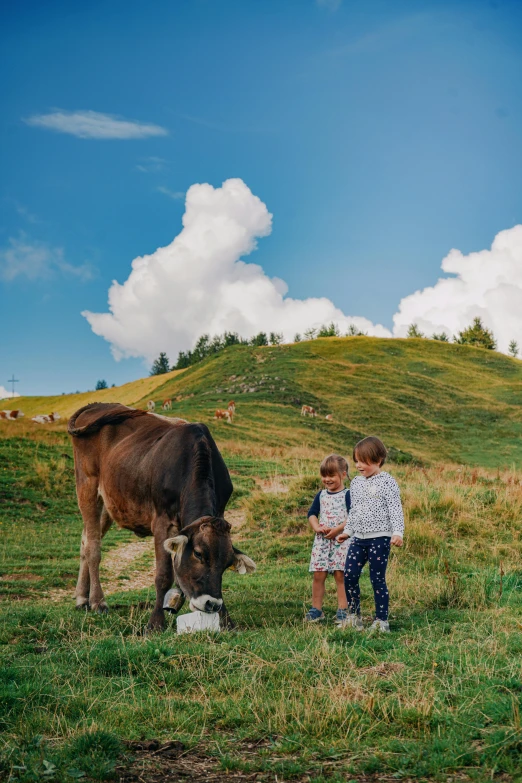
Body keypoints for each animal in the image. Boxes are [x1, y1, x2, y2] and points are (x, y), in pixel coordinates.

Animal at [67, 404, 254, 632]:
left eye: (228, 563)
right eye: (199, 554)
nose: (211, 604)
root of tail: (96, 406)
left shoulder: (219, 511)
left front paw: (225, 619)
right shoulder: (162, 521)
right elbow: (163, 575)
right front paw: (155, 623)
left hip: (110, 502)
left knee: (85, 541)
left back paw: (81, 598)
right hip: (87, 486)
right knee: (93, 547)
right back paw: (97, 601)